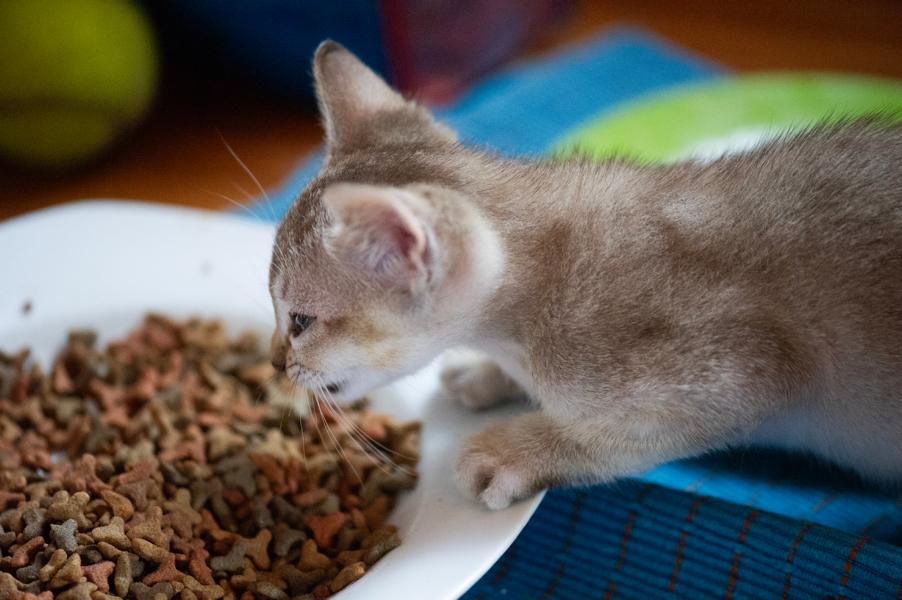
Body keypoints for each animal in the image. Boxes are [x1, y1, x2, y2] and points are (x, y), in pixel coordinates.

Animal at [270, 42, 902, 508]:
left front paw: (519, 449)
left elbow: (618, 436)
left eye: (301, 320)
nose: (277, 362)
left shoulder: (754, 367)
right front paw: (486, 374)